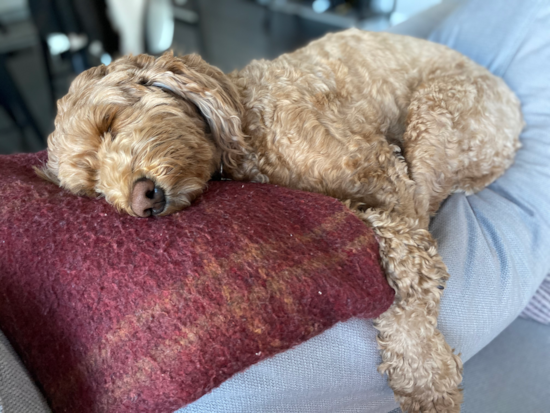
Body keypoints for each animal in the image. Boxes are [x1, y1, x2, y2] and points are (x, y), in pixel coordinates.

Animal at [37, 29, 520, 412]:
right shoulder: (376, 195)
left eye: (109, 123)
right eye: (93, 187)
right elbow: (387, 234)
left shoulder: (386, 177)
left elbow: (409, 278)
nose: (141, 200)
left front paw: (425, 381)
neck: (247, 127)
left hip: (435, 106)